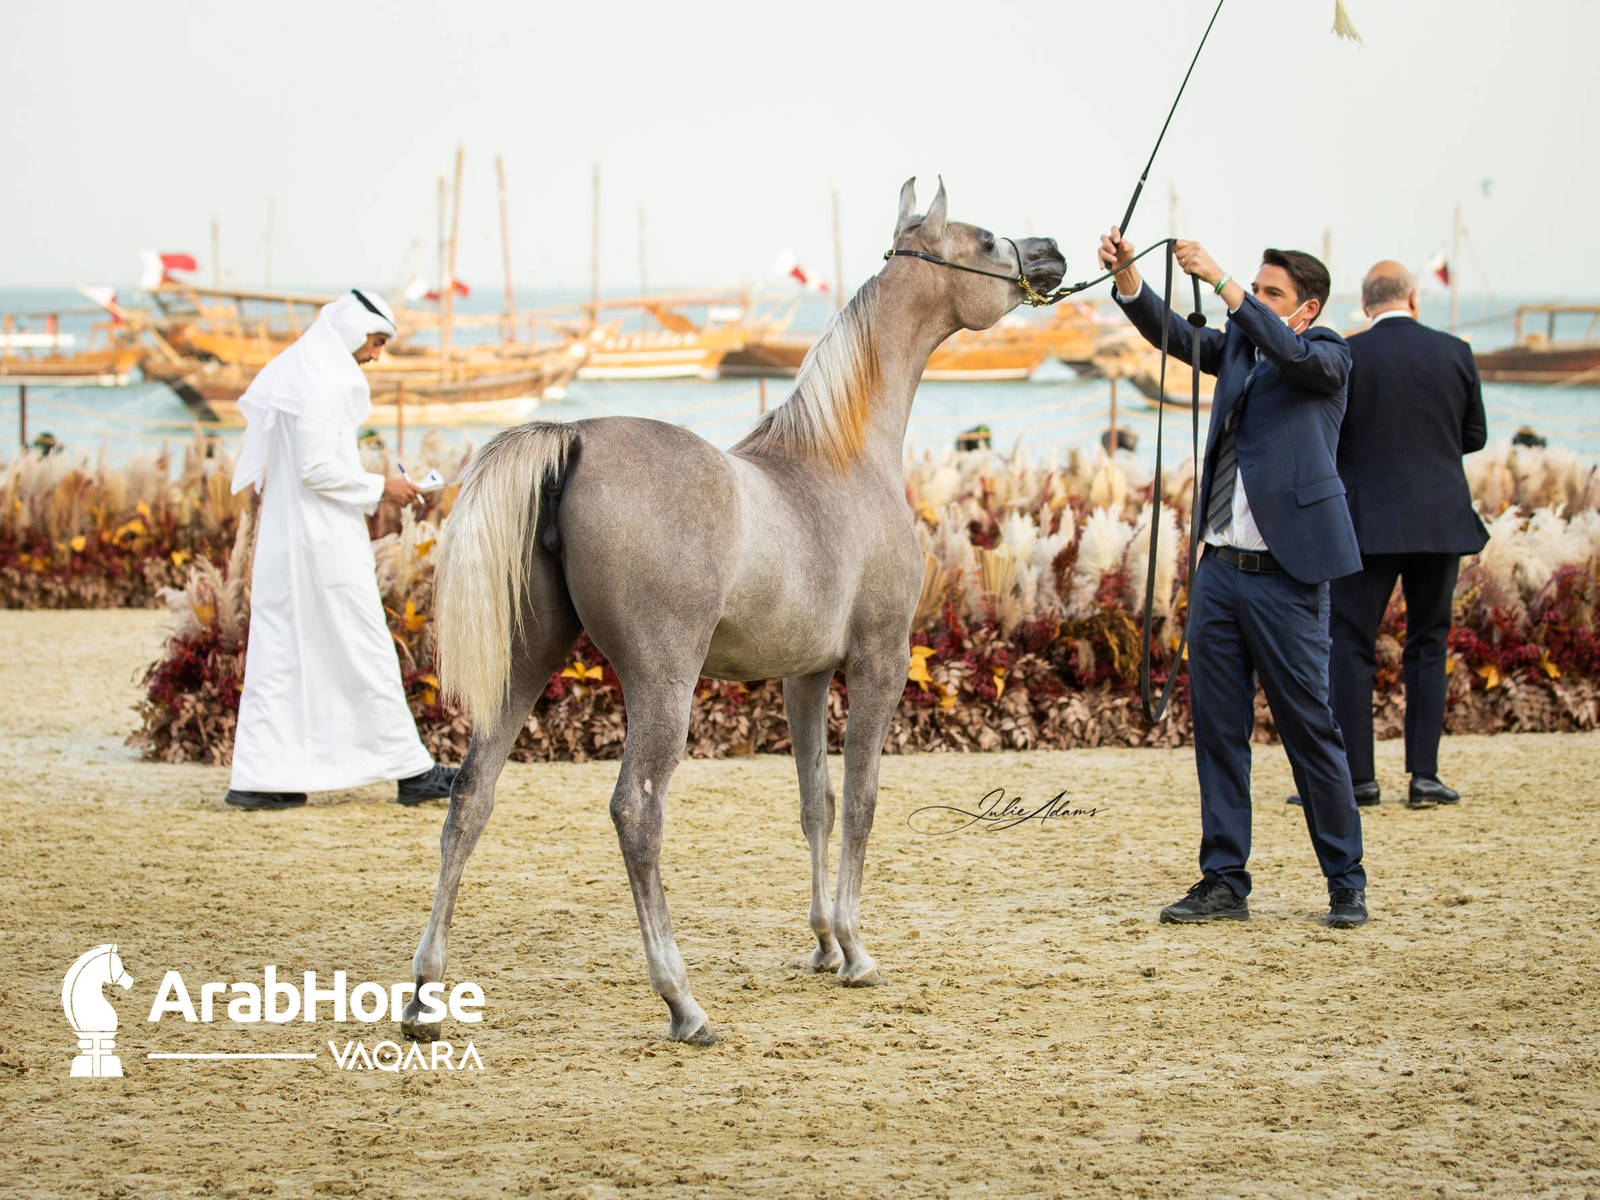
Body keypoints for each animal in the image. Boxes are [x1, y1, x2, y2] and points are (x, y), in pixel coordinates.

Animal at [402, 179, 1066, 1045]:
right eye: (985, 239)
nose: (1052, 254)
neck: (842, 459)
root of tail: (572, 438)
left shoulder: (804, 677)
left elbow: (816, 802)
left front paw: (825, 945)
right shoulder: (880, 662)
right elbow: (861, 799)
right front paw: (857, 948)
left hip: (527, 663)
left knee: (470, 801)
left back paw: (424, 996)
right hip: (663, 685)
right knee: (636, 812)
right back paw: (682, 1001)